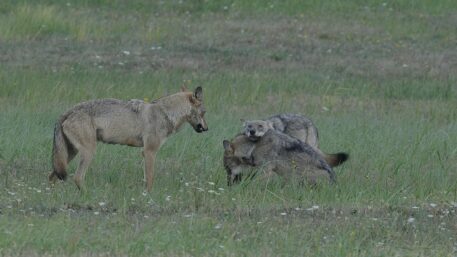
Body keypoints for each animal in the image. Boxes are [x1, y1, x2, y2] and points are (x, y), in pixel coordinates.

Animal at [49, 85, 207, 190]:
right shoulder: (149, 152)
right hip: (88, 152)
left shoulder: (146, 152)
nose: (207, 128)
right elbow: (150, 179)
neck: (165, 113)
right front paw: (148, 197)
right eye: (204, 112)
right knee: (77, 177)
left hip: (70, 155)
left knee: (53, 176)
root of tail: (69, 111)